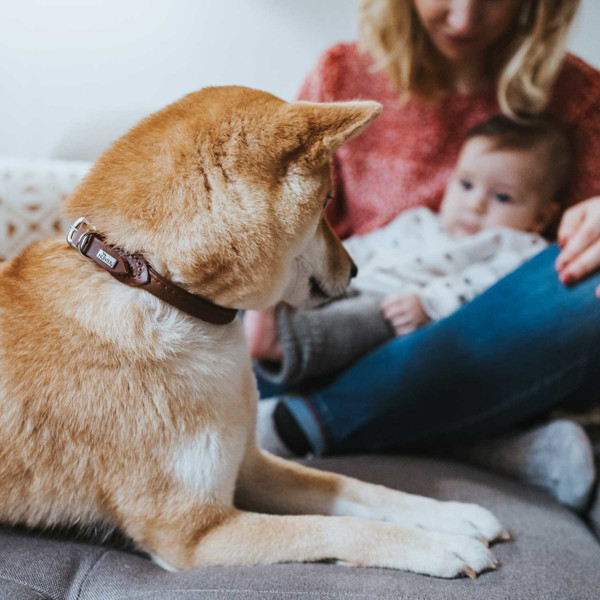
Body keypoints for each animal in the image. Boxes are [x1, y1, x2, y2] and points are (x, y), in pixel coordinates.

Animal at [0, 86, 508, 580]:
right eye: (327, 204)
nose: (355, 269)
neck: (153, 283)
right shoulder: (195, 533)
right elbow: (334, 526)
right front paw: (440, 546)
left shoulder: (252, 466)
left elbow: (352, 485)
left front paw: (452, 515)